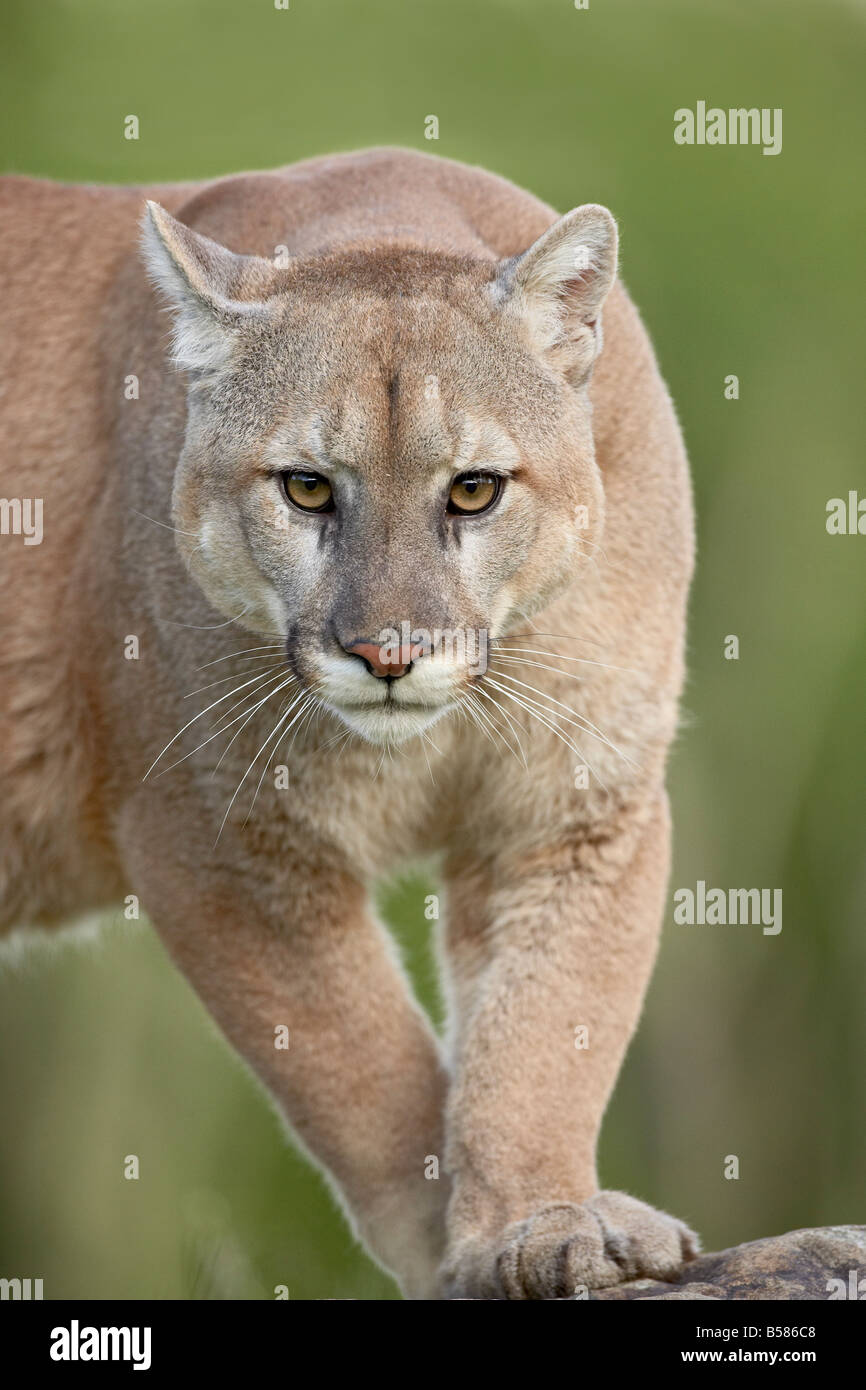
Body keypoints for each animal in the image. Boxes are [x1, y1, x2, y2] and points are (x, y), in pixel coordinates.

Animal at [0, 146, 697, 1295]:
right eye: (307, 488)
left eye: (473, 490)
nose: (387, 654)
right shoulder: (220, 843)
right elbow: (365, 1070)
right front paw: (453, 1251)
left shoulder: (578, 811)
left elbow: (545, 1030)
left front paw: (540, 1219)